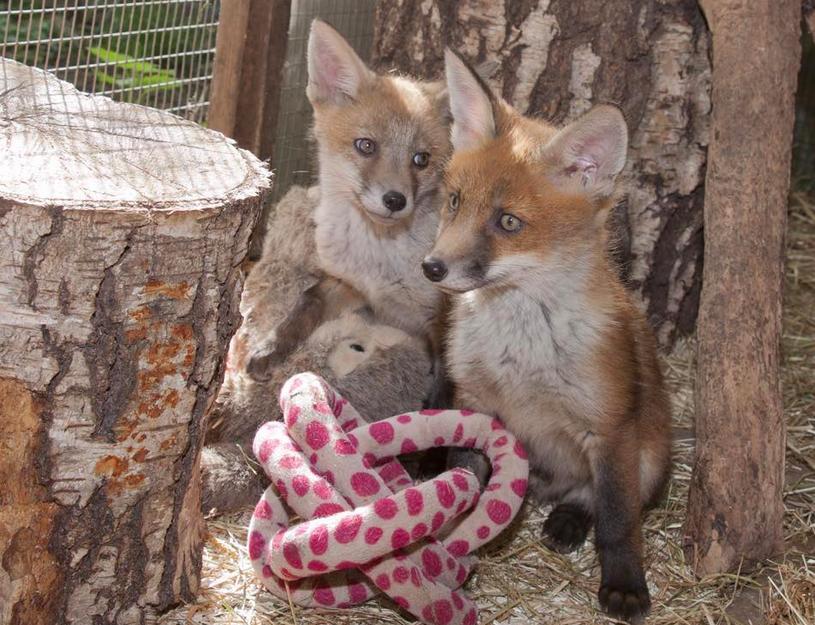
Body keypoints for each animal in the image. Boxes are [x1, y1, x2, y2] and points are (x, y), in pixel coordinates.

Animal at [422, 51, 672, 622]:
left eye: (508, 222)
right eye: (454, 201)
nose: (432, 267)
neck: (522, 353)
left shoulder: (609, 428)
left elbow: (618, 522)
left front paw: (625, 585)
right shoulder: (476, 405)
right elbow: (464, 480)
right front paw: (454, 546)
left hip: (650, 456)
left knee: (593, 499)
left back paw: (568, 521)